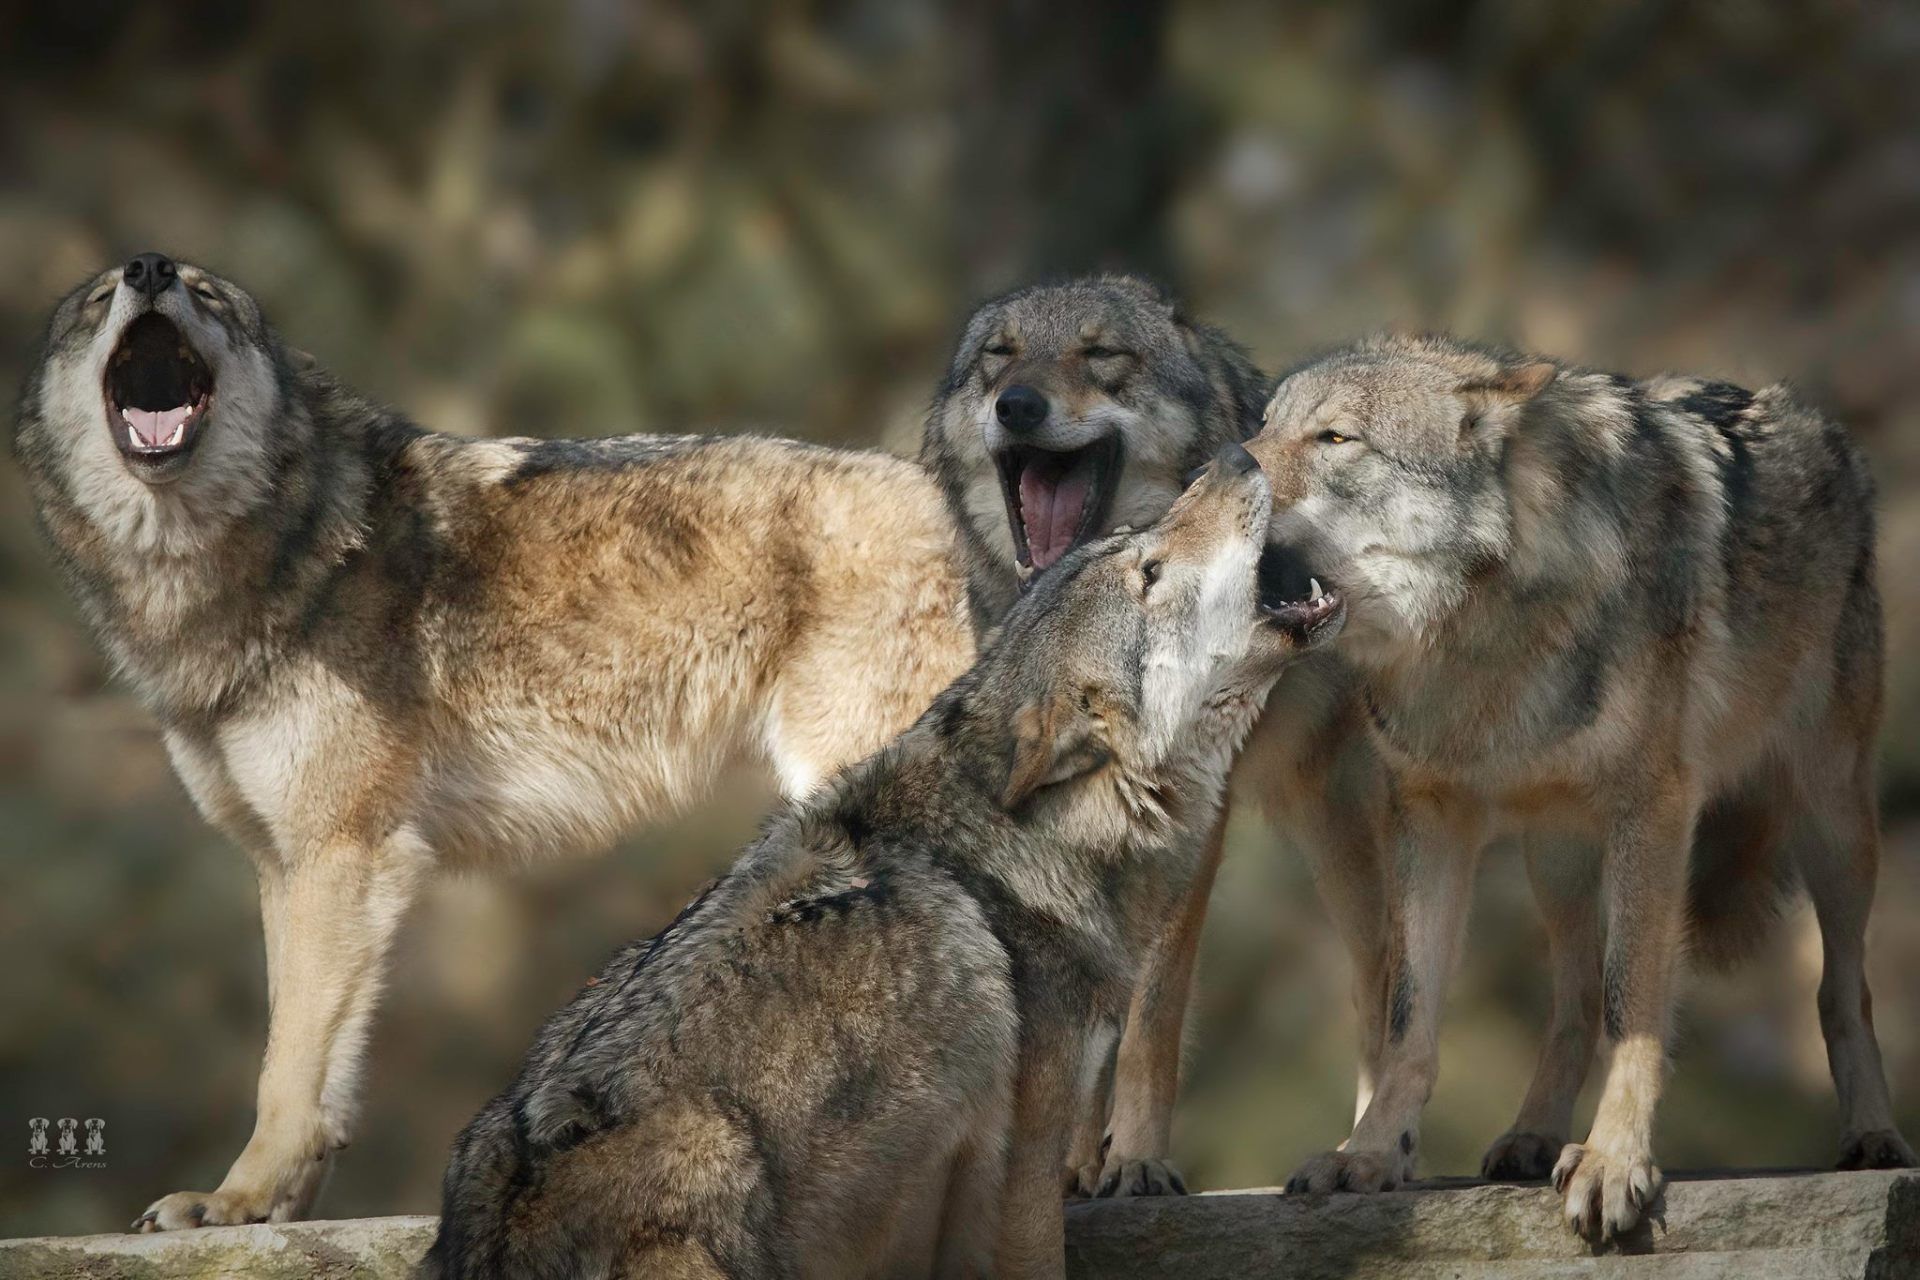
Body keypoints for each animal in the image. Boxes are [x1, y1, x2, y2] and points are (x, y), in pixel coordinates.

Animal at [13, 254, 977, 1230]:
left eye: (207, 295)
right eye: (99, 300)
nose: (150, 269)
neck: (283, 549)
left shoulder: (344, 852)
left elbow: (287, 1069)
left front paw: (236, 1201)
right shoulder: (286, 863)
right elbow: (314, 1072)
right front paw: (276, 1205)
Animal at [421, 444, 1340, 1280]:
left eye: (1142, 540)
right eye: (1150, 570)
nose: (1237, 454)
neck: (1045, 843)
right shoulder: (1024, 1162)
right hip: (716, 1160)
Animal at [1246, 332, 1917, 1238]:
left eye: (1335, 439)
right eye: (1260, 428)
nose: (1208, 480)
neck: (1483, 636)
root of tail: (1829, 431)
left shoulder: (1655, 808)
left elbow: (1633, 1004)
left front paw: (1612, 1163)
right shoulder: (1428, 816)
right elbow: (1410, 1015)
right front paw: (1371, 1154)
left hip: (1834, 829)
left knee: (1844, 989)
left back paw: (1873, 1137)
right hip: (1556, 859)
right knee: (1569, 1001)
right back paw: (1531, 1136)